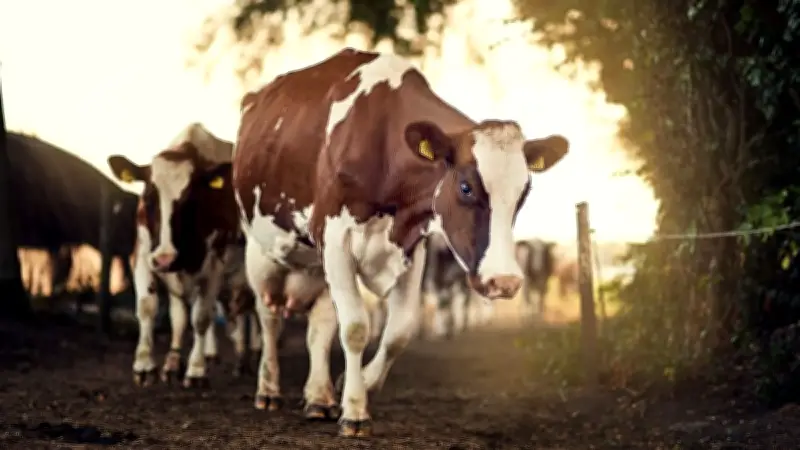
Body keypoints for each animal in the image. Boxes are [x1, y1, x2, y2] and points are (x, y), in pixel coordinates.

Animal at [232, 48, 569, 437]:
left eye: (524, 193)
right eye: (466, 187)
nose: (505, 281)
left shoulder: (412, 244)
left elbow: (399, 330)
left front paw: (355, 383)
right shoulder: (335, 238)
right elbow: (356, 327)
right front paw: (355, 410)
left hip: (317, 265)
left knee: (320, 325)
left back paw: (319, 397)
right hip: (261, 249)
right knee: (269, 315)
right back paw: (268, 390)